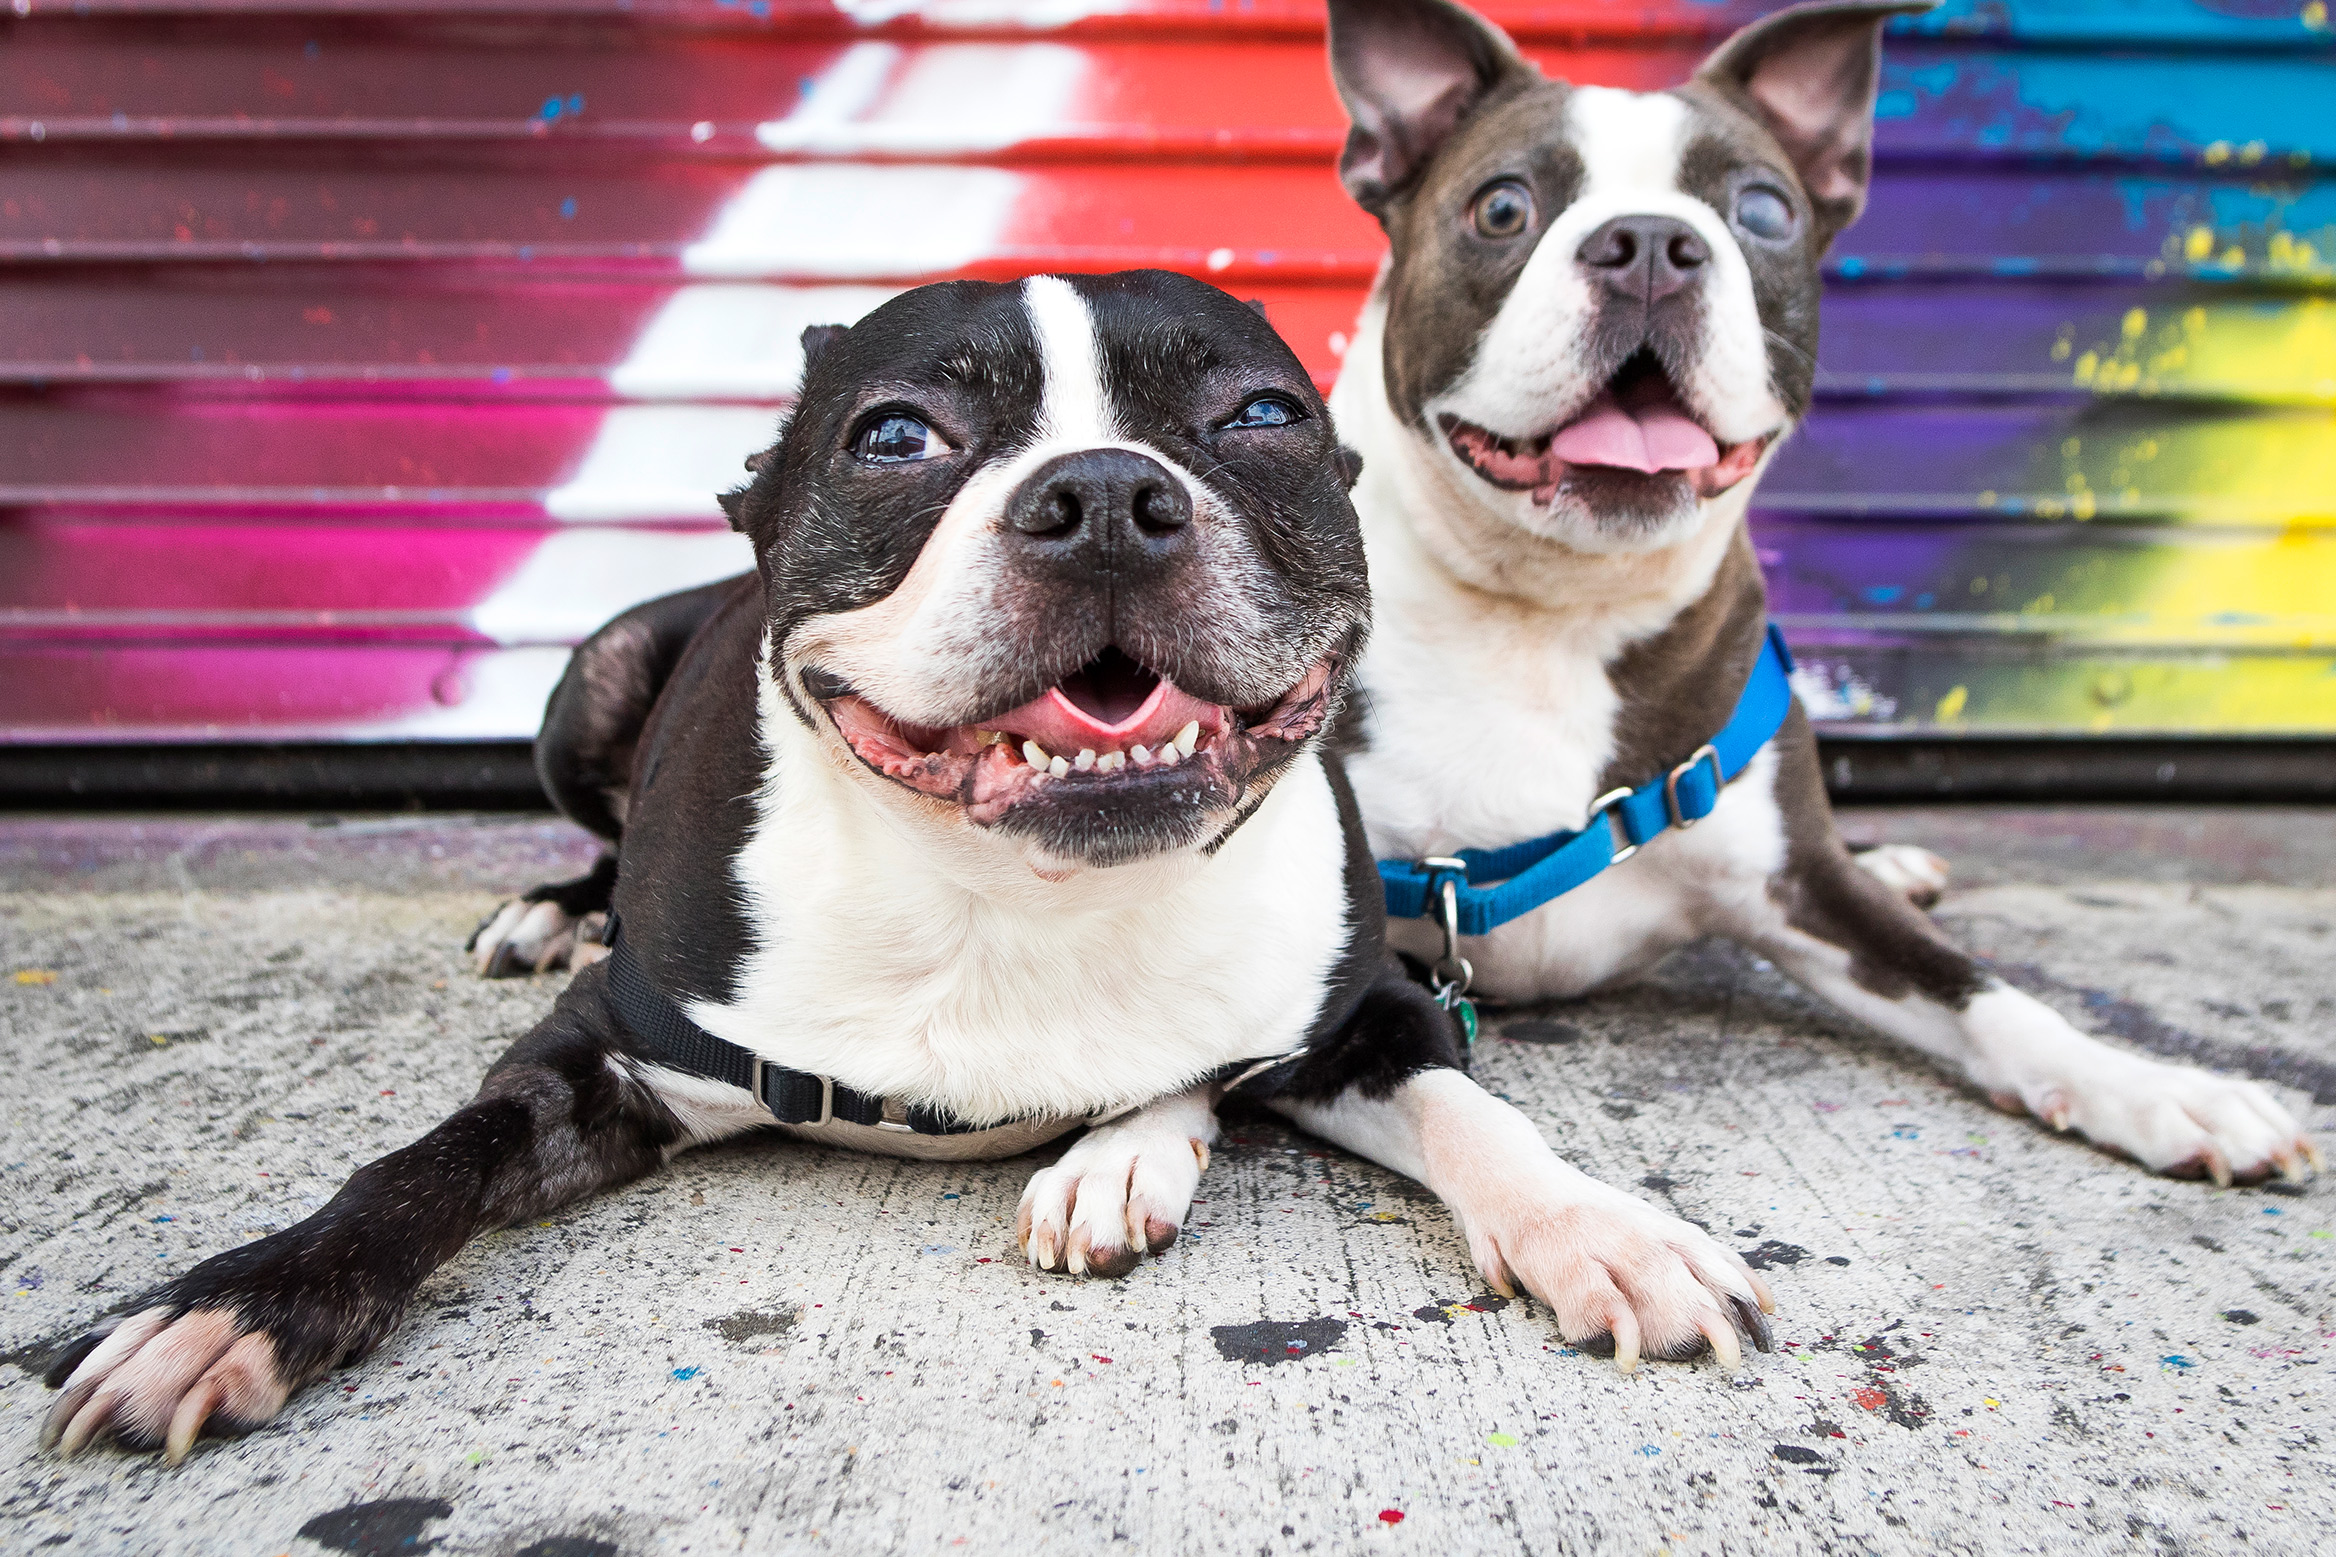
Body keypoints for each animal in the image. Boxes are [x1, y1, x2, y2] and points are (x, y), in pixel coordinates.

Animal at [45, 270, 1775, 1475]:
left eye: (1258, 419)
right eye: (895, 438)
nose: (1105, 497)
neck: (1012, 898)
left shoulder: (1364, 1008)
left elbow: (1480, 1116)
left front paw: (1606, 1232)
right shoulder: (599, 1058)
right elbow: (418, 1167)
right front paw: (236, 1305)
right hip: (592, 677)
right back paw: (550, 907)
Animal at [1317, 0, 2317, 1213]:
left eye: (1761, 210)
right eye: (1502, 206)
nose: (1649, 243)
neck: (1549, 613)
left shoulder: (1807, 890)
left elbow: (1993, 997)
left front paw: (2158, 1087)